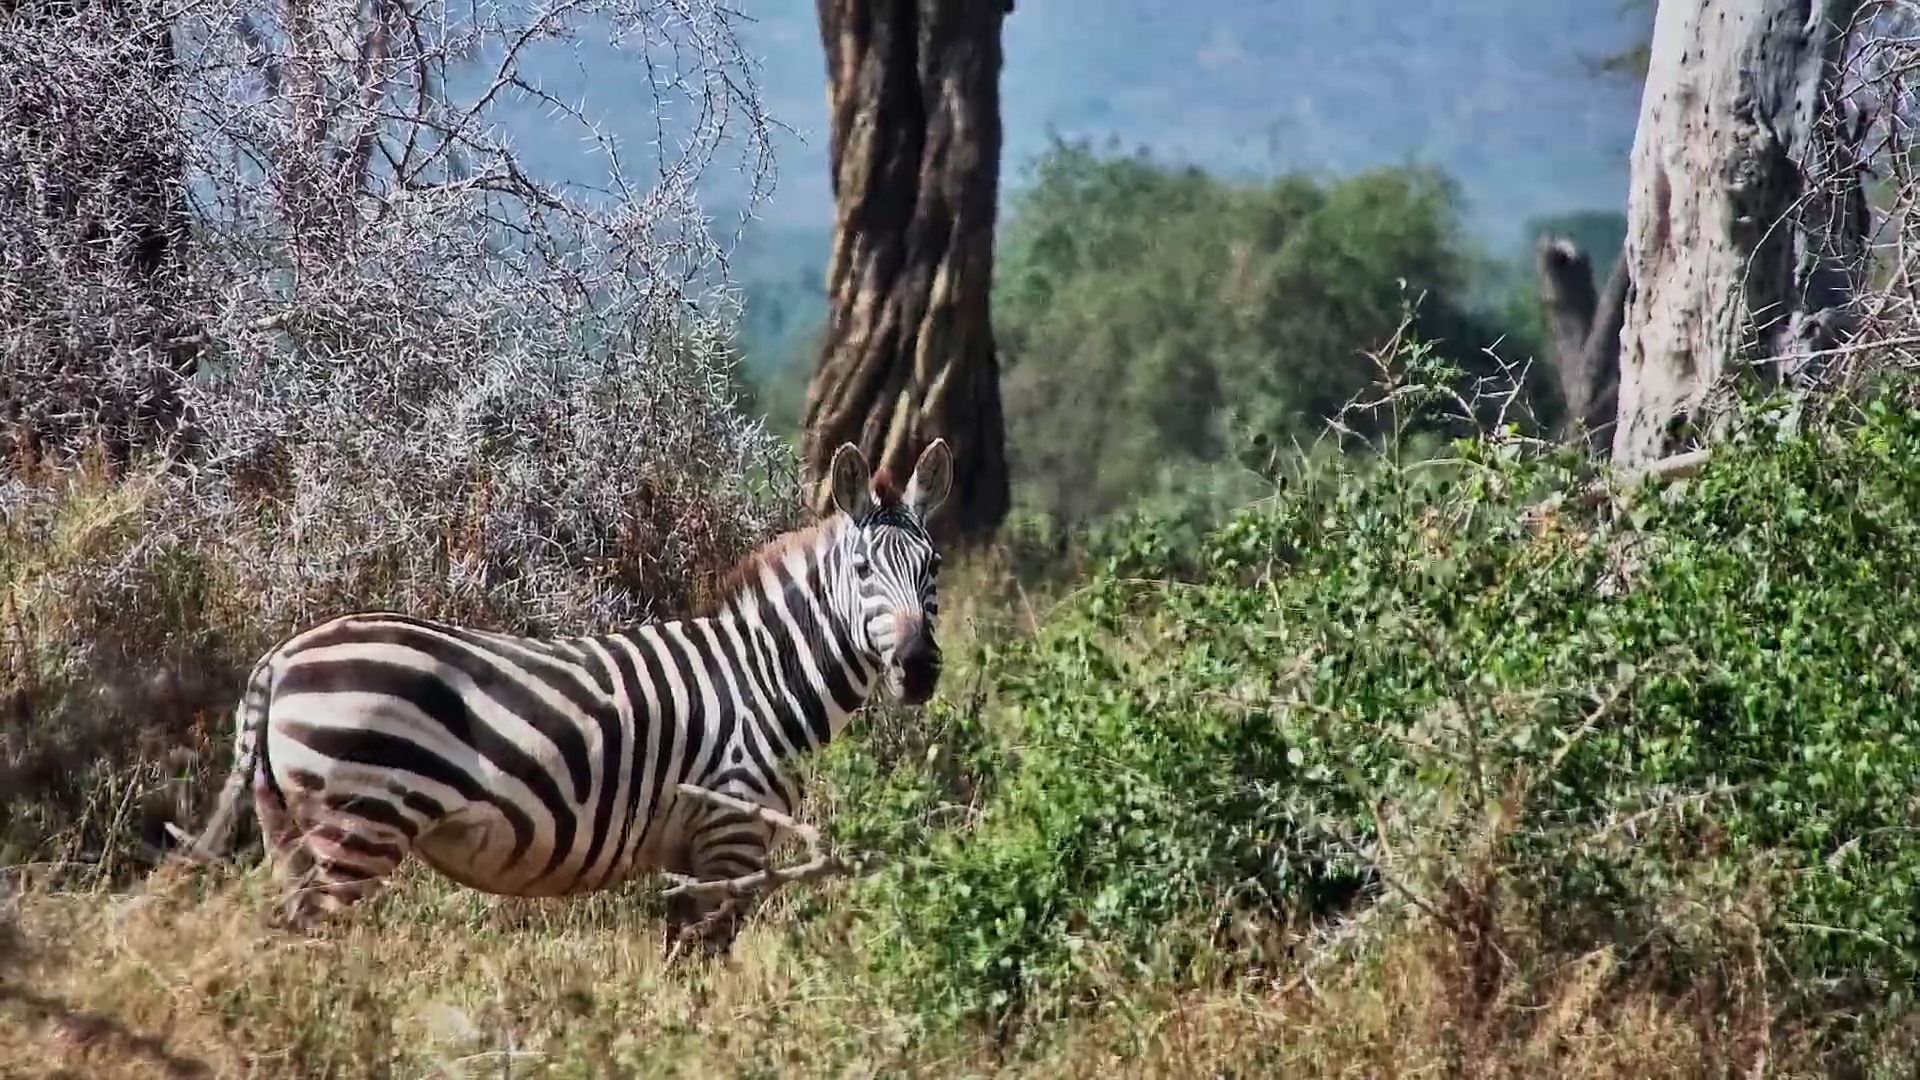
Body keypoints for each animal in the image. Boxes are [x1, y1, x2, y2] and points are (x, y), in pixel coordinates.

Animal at [179, 439, 952, 952]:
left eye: (935, 567)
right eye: (862, 568)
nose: (919, 669)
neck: (766, 677)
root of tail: (280, 659)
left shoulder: (691, 852)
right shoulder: (729, 834)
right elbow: (703, 966)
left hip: (289, 827)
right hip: (357, 827)